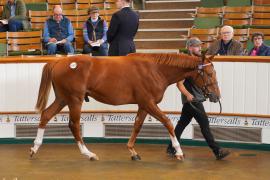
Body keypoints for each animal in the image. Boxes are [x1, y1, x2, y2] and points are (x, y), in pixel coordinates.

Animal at [30, 52, 219, 161]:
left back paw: (34, 148)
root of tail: (60, 61)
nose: (216, 96)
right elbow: (168, 122)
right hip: (74, 100)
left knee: (46, 115)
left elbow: (137, 125)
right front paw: (179, 152)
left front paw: (132, 151)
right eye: (209, 74)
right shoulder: (149, 103)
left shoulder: (144, 105)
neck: (155, 69)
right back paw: (88, 153)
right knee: (74, 125)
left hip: (63, 99)